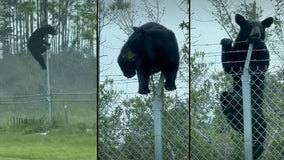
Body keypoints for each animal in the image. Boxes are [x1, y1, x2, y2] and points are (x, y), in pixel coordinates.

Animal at [220, 14, 272, 159]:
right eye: (249, 26)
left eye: (261, 27)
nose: (256, 34)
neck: (248, 48)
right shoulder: (237, 53)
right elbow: (229, 66)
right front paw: (226, 41)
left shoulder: (261, 55)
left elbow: (263, 63)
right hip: (231, 98)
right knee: (225, 97)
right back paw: (231, 111)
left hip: (256, 113)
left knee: (260, 129)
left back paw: (256, 148)